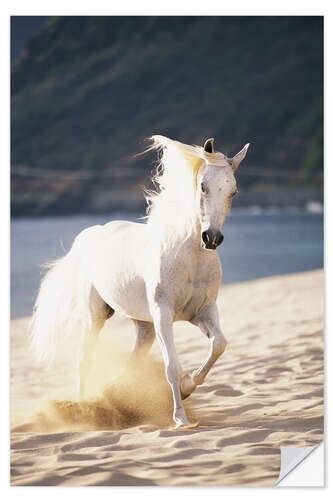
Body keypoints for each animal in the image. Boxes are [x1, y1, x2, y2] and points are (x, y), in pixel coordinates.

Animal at [29, 135, 248, 428]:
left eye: (233, 191)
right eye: (203, 186)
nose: (211, 238)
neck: (188, 256)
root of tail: (89, 235)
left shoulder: (202, 311)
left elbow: (219, 345)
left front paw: (187, 387)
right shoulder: (163, 314)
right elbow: (171, 366)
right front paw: (181, 418)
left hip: (144, 325)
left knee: (133, 360)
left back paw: (114, 395)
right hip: (96, 315)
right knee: (84, 358)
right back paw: (83, 406)